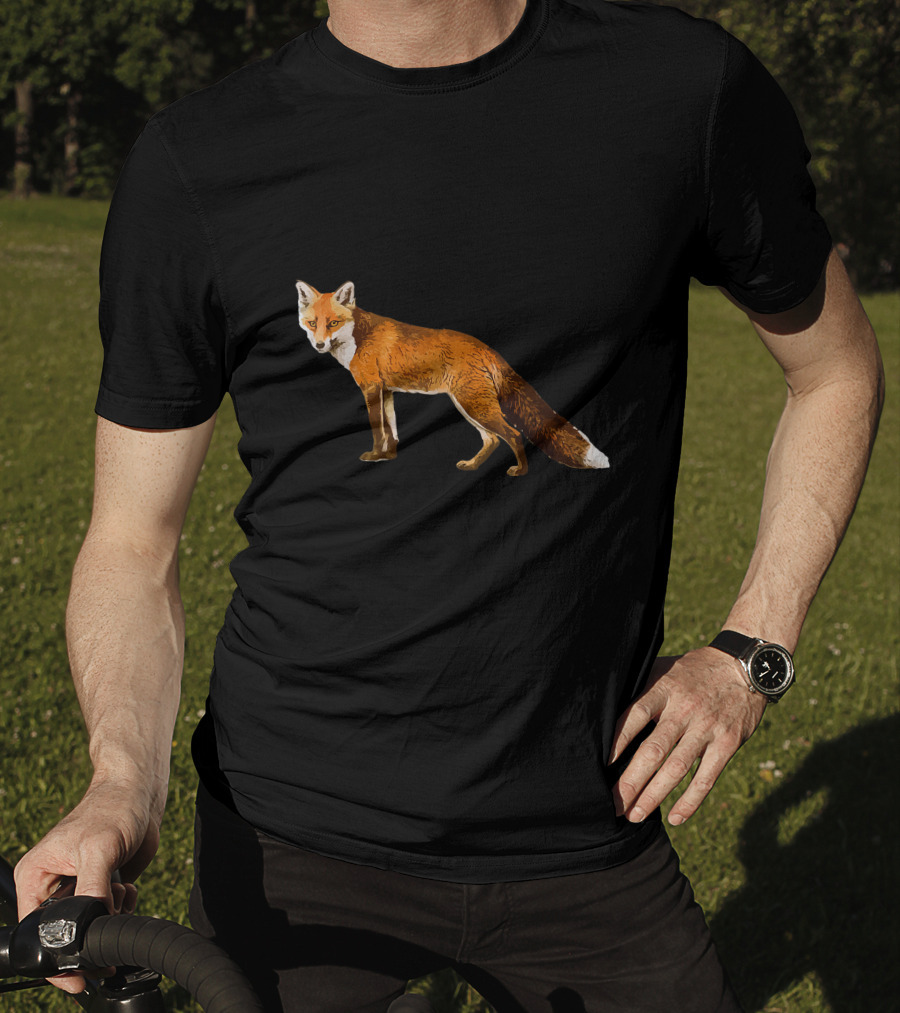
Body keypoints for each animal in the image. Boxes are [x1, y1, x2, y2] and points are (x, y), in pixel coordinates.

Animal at [295, 280, 610, 478]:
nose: (319, 345)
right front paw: (390, 457)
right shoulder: (387, 391)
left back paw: (520, 472)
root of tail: (485, 346)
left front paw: (374, 456)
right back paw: (471, 466)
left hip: (474, 405)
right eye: (312, 323)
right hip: (467, 405)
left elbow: (377, 431)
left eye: (333, 323)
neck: (357, 337)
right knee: (492, 440)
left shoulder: (371, 388)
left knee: (512, 434)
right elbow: (392, 430)